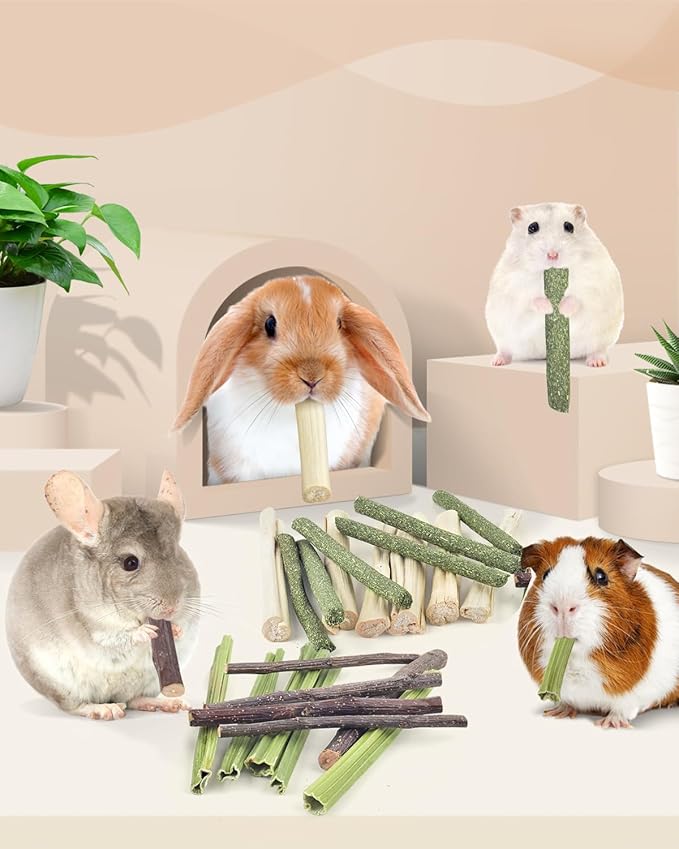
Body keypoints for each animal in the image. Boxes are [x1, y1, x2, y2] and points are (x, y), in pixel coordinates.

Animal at [5, 470, 200, 720]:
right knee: (75, 705)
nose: (171, 607)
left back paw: (169, 703)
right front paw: (146, 631)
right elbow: (115, 638)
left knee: (134, 699)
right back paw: (104, 709)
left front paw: (175, 629)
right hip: (58, 684)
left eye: (176, 554)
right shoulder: (95, 626)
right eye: (130, 562)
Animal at [486, 203, 623, 368]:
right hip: (502, 335)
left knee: (599, 349)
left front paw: (562, 309)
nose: (552, 255)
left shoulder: (595, 282)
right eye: (532, 227)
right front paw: (550, 308)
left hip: (602, 336)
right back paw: (497, 361)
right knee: (505, 349)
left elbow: (578, 297)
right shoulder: (513, 286)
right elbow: (530, 299)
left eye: (569, 226)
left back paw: (596, 362)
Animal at [518, 536, 679, 728]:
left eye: (601, 576)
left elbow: (622, 709)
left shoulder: (635, 695)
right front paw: (557, 713)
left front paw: (608, 724)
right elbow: (567, 701)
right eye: (545, 575)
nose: (562, 607)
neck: (574, 659)